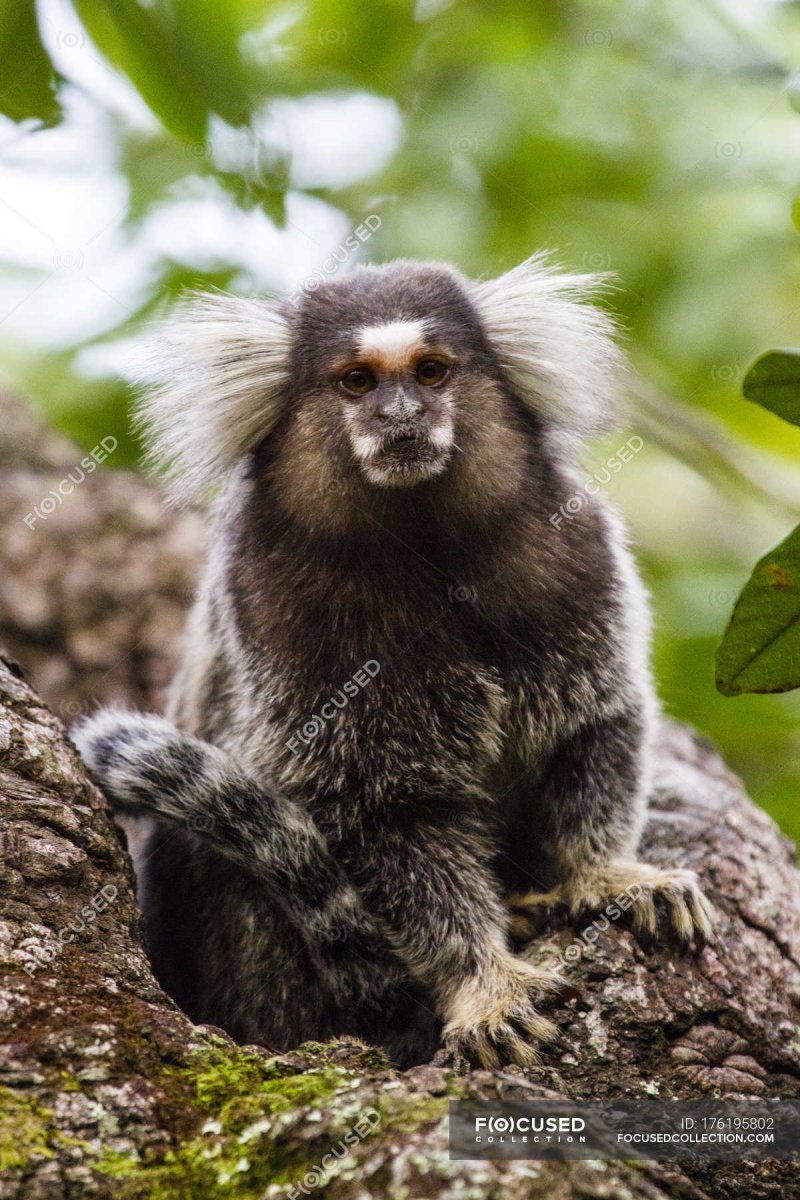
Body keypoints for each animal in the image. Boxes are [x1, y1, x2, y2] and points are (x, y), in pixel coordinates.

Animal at [74, 255, 713, 1070]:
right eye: (357, 381)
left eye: (431, 371)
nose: (403, 415)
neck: (424, 548)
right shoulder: (279, 600)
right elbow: (384, 805)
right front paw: (484, 983)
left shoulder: (574, 545)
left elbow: (594, 722)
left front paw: (603, 875)